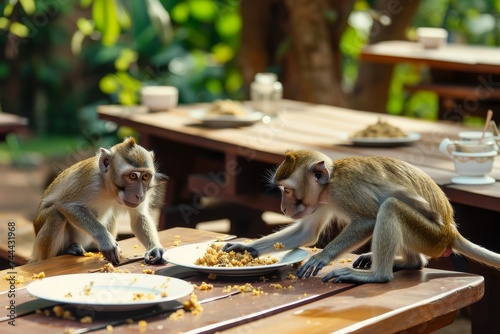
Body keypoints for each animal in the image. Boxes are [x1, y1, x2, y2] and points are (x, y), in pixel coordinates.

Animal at [30, 137, 169, 264]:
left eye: (145, 177)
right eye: (132, 176)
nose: (139, 195)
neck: (108, 186)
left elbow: (139, 216)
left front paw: (155, 248)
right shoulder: (91, 180)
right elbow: (67, 205)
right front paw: (105, 240)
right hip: (42, 249)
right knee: (56, 214)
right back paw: (64, 251)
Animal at [225, 150, 500, 284]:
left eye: (288, 190)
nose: (283, 208)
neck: (329, 182)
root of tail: (451, 231)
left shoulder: (341, 191)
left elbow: (368, 220)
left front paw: (321, 257)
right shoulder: (321, 201)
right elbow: (307, 233)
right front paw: (245, 248)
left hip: (432, 238)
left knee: (390, 207)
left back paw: (379, 275)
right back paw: (409, 262)